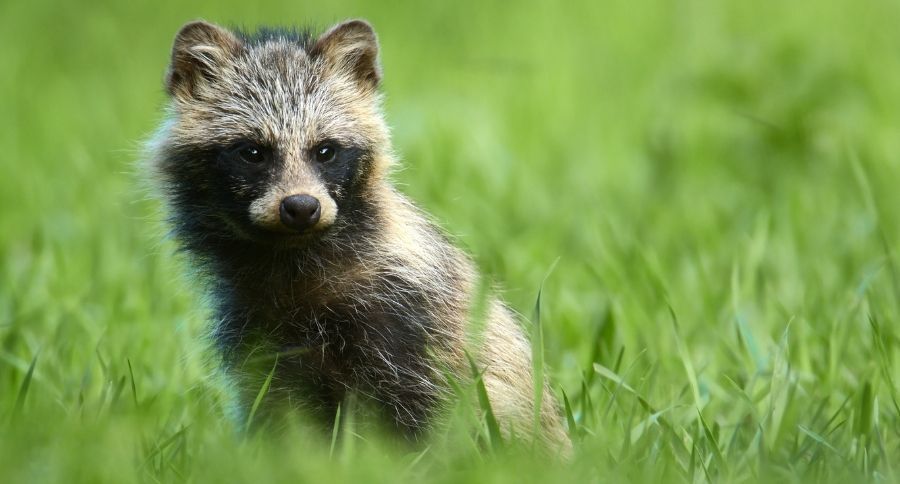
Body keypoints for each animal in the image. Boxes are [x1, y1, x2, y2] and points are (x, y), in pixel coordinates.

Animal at [147, 18, 571, 455]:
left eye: (326, 150)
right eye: (252, 152)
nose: (301, 207)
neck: (291, 263)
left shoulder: (405, 314)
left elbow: (419, 412)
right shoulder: (254, 331)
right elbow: (275, 410)